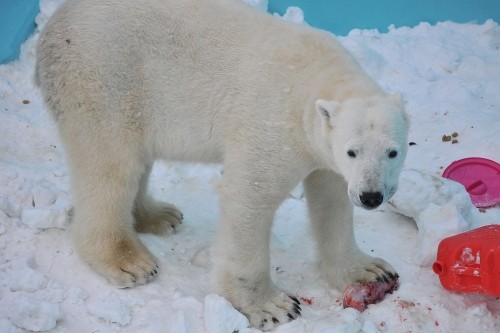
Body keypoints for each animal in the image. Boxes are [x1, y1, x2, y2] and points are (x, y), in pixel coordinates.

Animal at [36, 0, 410, 328]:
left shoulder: (323, 153)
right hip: (103, 80)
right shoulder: (273, 125)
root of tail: (53, 27)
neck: (314, 78)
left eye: (393, 152)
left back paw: (159, 215)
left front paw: (369, 270)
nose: (371, 196)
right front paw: (271, 307)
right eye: (352, 151)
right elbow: (250, 197)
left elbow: (331, 201)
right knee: (112, 167)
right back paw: (128, 261)